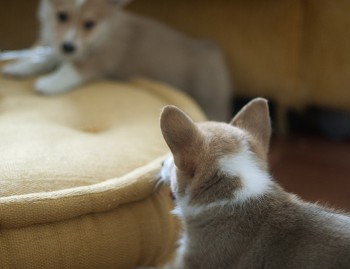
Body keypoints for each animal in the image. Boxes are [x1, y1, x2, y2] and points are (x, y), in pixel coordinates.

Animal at [3, 0, 232, 120]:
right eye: (62, 16)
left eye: (89, 24)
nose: (69, 46)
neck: (104, 32)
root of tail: (210, 49)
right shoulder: (63, 48)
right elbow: (45, 57)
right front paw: (20, 67)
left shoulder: (101, 57)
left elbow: (73, 68)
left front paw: (49, 83)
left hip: (209, 96)